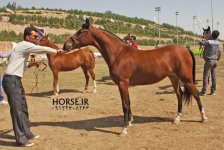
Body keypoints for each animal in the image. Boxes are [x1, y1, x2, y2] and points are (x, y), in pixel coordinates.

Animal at [62, 18, 207, 136]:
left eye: (81, 32)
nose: (65, 45)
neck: (119, 54)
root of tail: (185, 49)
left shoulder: (123, 84)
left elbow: (125, 105)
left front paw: (124, 129)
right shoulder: (123, 85)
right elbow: (127, 103)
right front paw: (130, 122)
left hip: (186, 78)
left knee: (196, 94)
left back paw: (203, 118)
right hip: (174, 78)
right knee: (179, 95)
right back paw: (177, 118)